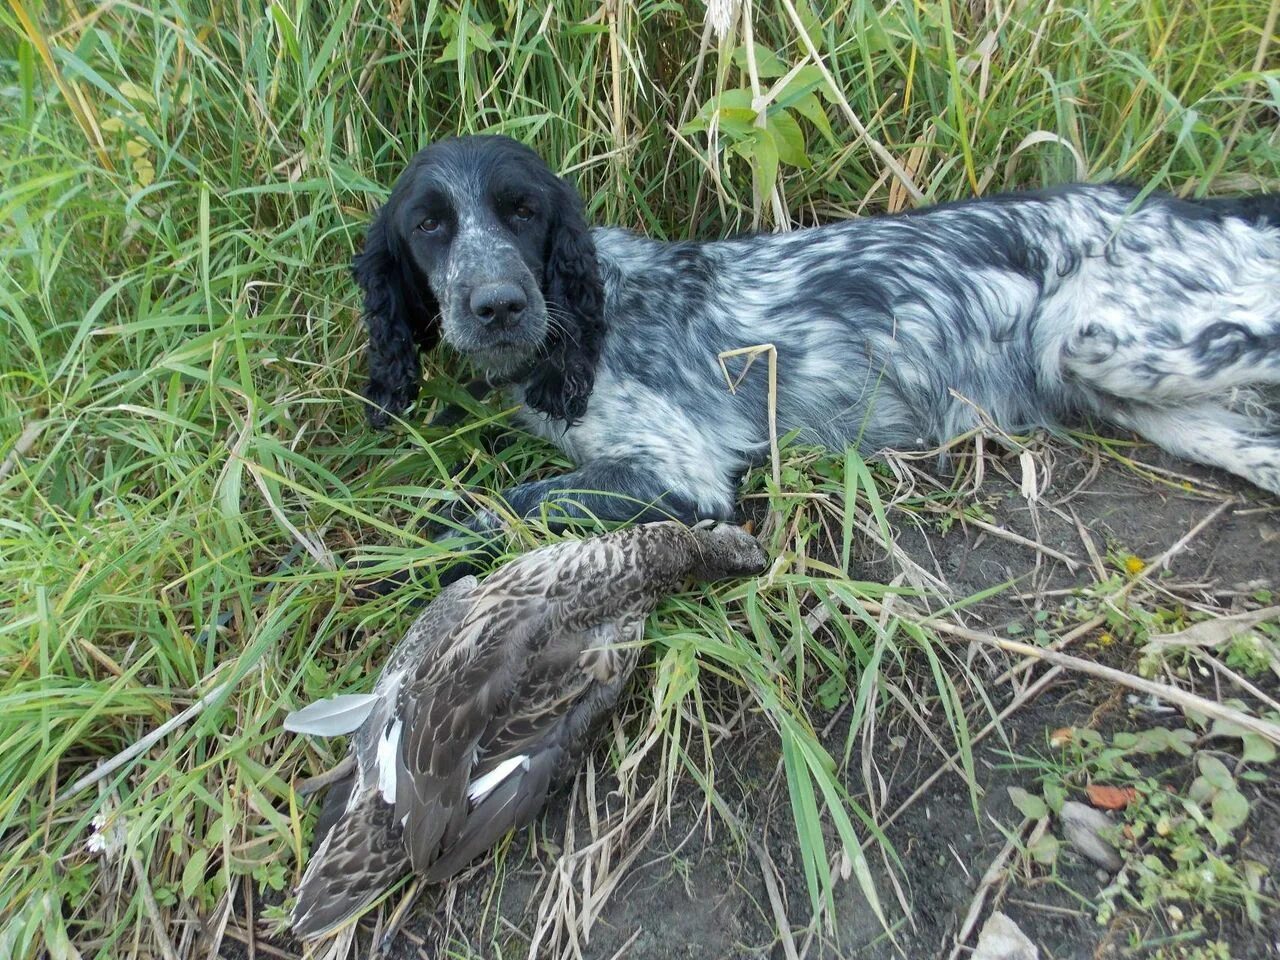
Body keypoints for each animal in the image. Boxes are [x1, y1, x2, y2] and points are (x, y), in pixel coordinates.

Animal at [353, 136, 1280, 542]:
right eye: (429, 225)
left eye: (524, 210)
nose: (499, 305)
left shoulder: (681, 472)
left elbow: (494, 511)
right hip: (1149, 396)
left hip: (1107, 339)